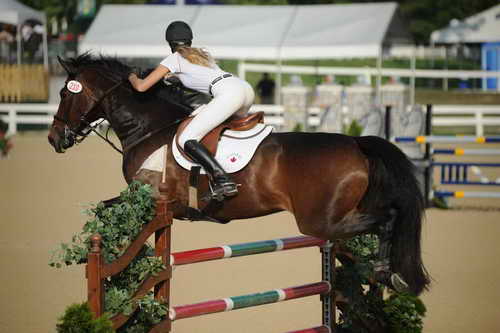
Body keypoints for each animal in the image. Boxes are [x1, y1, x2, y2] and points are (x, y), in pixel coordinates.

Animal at [47, 53, 430, 294]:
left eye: (65, 93)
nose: (54, 139)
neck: (149, 127)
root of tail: (356, 143)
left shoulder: (150, 198)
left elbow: (103, 211)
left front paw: (103, 256)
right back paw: (389, 275)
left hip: (321, 221)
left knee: (387, 219)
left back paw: (385, 272)